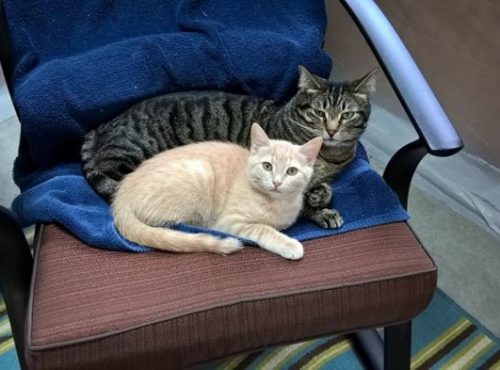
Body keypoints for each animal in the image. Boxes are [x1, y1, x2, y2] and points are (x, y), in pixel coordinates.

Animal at [82, 66, 376, 228]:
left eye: (347, 115)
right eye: (318, 113)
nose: (332, 130)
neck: (329, 155)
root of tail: (104, 125)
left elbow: (324, 188)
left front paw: (320, 195)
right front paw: (321, 212)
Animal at [111, 123, 322, 258]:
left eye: (291, 171)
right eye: (267, 166)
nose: (276, 182)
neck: (277, 203)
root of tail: (121, 194)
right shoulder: (230, 221)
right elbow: (263, 229)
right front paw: (289, 244)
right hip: (199, 174)